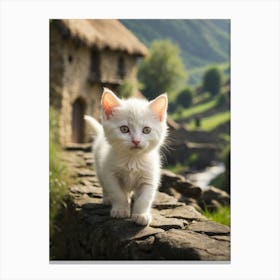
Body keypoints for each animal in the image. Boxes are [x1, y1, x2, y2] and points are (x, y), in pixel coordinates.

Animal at [84, 87, 167, 225]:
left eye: (146, 130)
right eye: (124, 129)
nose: (136, 141)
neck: (132, 160)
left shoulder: (149, 176)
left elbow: (145, 198)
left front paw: (141, 215)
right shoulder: (110, 174)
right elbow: (117, 193)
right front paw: (121, 210)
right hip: (99, 169)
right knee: (105, 186)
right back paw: (107, 199)